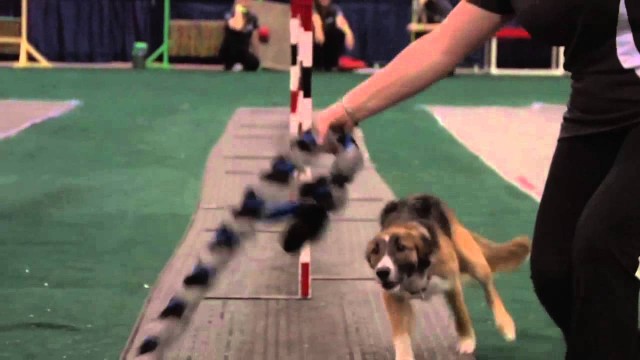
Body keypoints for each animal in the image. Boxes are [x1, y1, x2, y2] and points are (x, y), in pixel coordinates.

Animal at [362, 195, 532, 358]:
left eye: (401, 248)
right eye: (375, 252)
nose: (382, 272)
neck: (416, 272)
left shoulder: (451, 283)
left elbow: (460, 313)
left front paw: (466, 339)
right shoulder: (393, 297)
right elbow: (401, 334)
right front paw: (404, 355)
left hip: (472, 259)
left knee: (490, 289)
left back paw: (505, 323)